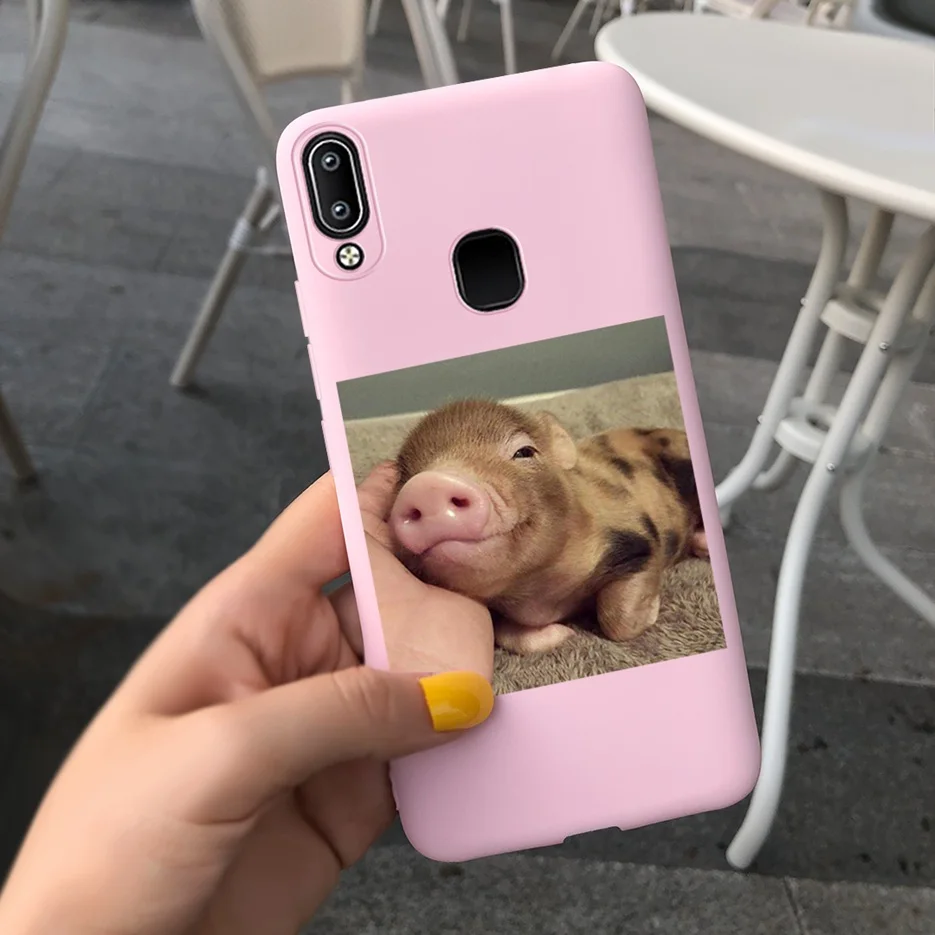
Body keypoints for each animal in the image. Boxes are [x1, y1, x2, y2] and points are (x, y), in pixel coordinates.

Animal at [387, 399, 709, 655]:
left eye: (524, 452)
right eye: (404, 479)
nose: (429, 485)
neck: (540, 596)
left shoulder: (638, 541)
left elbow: (617, 621)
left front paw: (651, 612)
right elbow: (505, 633)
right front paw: (565, 634)